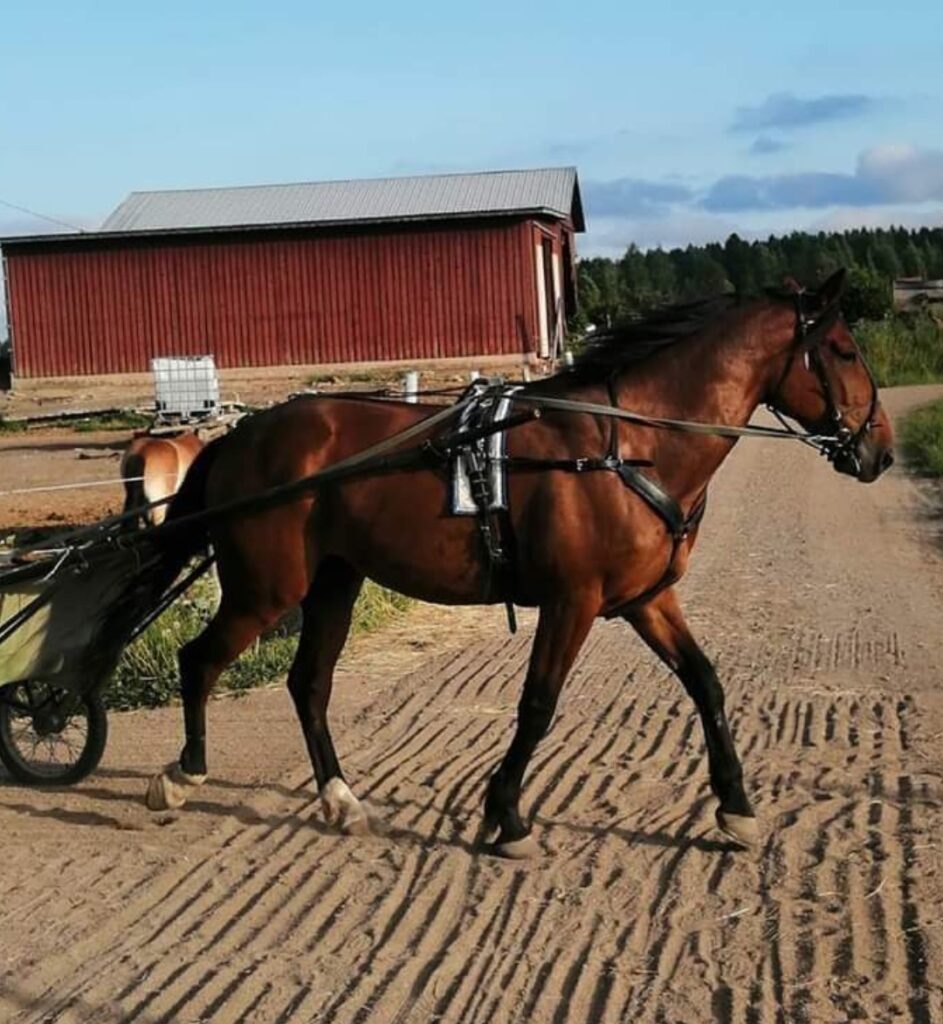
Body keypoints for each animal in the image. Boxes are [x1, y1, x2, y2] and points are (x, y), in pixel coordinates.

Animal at [145, 272, 888, 856]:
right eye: (844, 350)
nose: (878, 450)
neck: (627, 443)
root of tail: (241, 435)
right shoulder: (571, 599)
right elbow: (537, 704)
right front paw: (505, 814)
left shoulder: (647, 599)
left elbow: (706, 685)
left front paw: (735, 810)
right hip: (266, 588)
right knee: (200, 660)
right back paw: (182, 775)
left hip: (334, 581)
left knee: (308, 684)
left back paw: (341, 799)